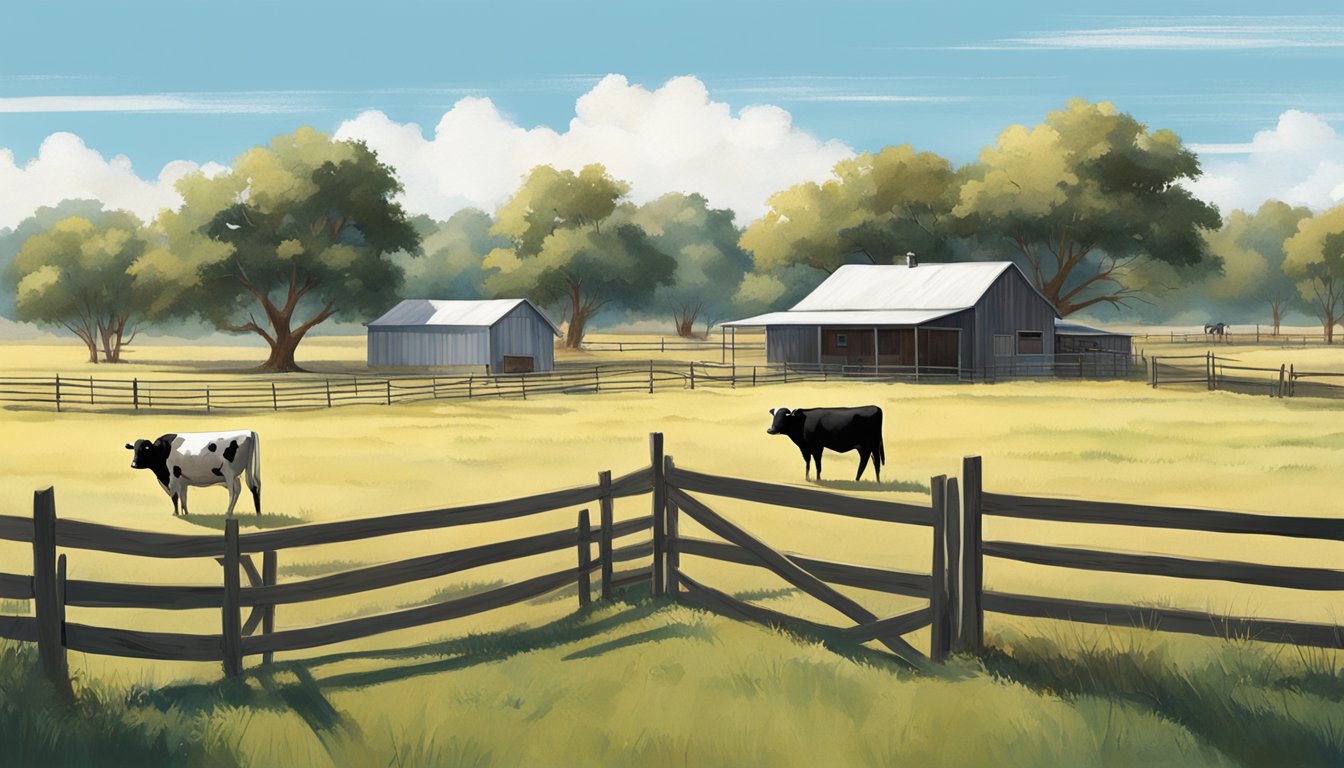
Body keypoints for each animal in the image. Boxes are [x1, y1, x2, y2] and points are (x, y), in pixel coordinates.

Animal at [126, 433, 262, 516]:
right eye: (134, 449)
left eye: (145, 449)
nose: (133, 464)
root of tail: (249, 432)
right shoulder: (182, 481)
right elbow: (183, 497)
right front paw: (186, 513)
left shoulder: (172, 478)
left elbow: (174, 496)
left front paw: (176, 514)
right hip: (236, 476)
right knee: (248, 489)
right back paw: (255, 513)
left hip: (229, 473)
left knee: (233, 492)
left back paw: (228, 512)